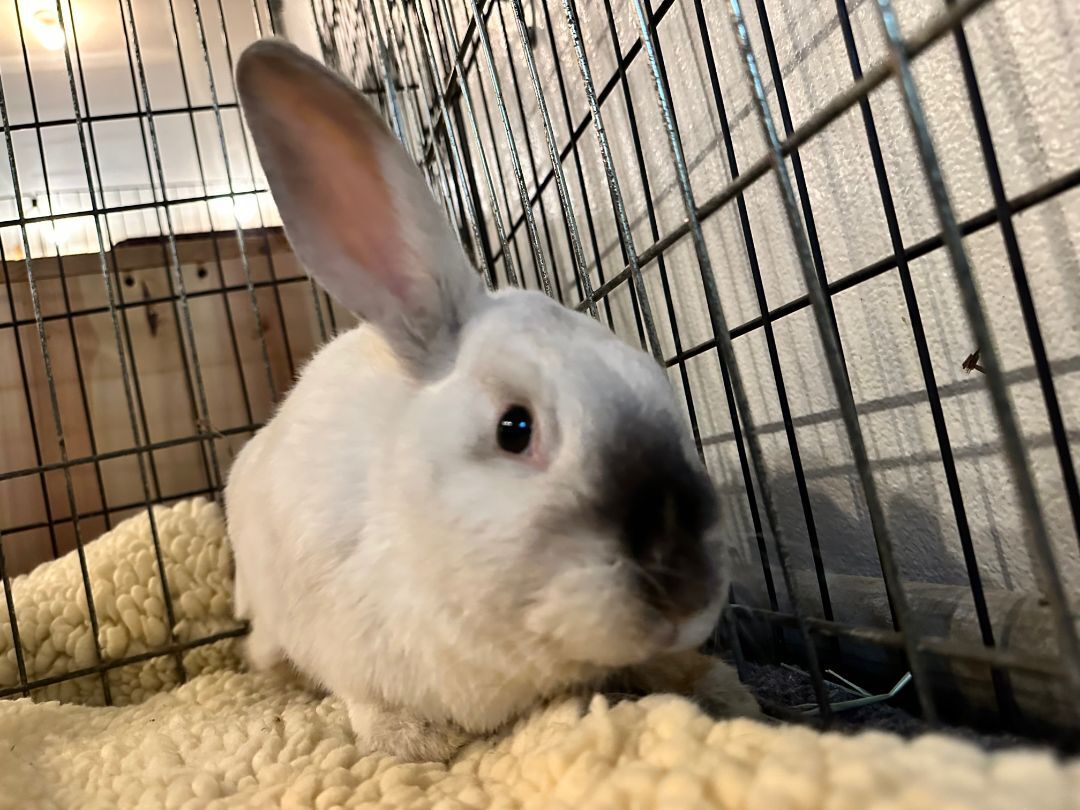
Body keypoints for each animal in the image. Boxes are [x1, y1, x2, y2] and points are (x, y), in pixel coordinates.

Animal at [227, 38, 761, 763]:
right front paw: (412, 740)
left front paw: (722, 690)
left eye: (665, 395)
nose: (685, 585)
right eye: (514, 429)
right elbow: (365, 699)